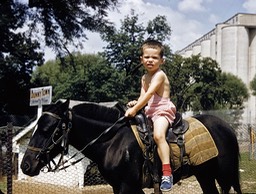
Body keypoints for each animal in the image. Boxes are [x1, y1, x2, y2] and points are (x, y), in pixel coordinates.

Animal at [20, 100, 242, 194]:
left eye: (49, 130)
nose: (26, 165)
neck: (112, 141)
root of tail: (227, 128)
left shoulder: (127, 186)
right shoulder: (121, 187)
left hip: (223, 175)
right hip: (205, 175)